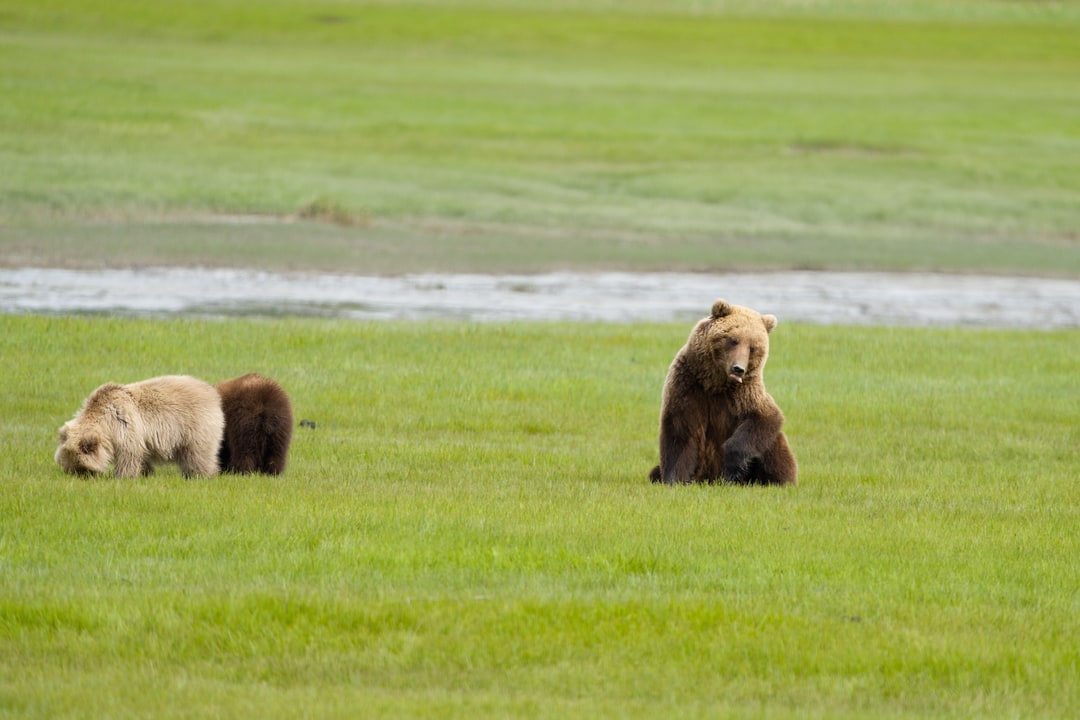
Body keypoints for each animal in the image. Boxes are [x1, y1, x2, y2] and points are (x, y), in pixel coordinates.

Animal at [55, 375, 224, 479]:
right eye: (68, 466)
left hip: (195, 426)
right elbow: (142, 457)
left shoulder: (125, 425)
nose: (80, 476)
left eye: (81, 467)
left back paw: (201, 474)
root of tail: (211, 391)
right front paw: (146, 473)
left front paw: (124, 476)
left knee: (198, 454)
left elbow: (129, 455)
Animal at [649, 299, 797, 486]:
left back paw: (777, 481)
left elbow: (764, 417)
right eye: (733, 340)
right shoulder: (688, 385)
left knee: (775, 447)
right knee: (654, 471)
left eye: (753, 347)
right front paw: (675, 479)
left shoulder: (744, 393)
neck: (715, 384)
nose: (738, 369)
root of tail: (709, 478)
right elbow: (681, 432)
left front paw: (733, 466)